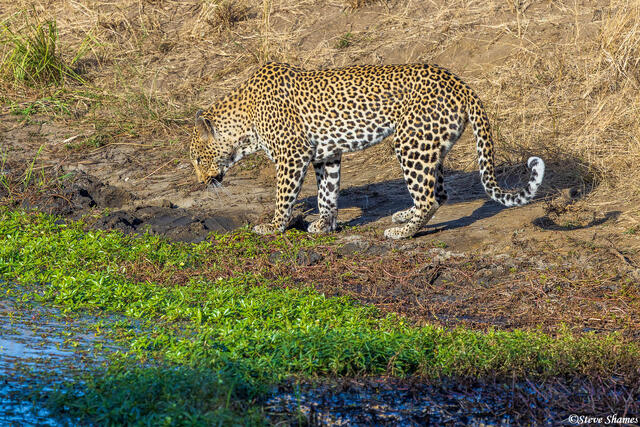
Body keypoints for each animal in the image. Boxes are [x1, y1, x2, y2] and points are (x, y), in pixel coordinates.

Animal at [190, 62, 545, 239]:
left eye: (195, 158)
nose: (199, 182)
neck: (243, 125)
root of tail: (461, 84)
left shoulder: (292, 155)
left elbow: (283, 196)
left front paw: (274, 226)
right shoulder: (326, 155)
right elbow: (327, 192)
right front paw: (325, 224)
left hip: (409, 141)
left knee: (429, 197)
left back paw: (401, 232)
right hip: (430, 145)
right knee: (439, 193)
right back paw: (405, 216)